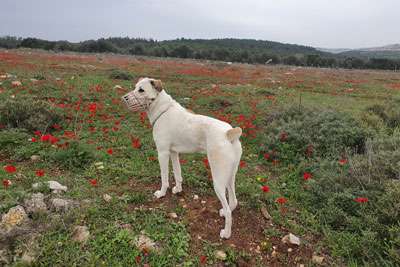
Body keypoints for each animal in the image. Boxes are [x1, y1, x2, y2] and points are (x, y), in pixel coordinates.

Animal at [122, 77, 242, 239]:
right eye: (135, 87)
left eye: (141, 90)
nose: (124, 98)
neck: (161, 110)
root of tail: (229, 133)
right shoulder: (173, 153)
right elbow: (178, 174)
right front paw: (178, 189)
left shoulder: (163, 153)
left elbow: (164, 178)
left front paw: (161, 193)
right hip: (229, 176)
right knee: (233, 200)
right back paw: (224, 212)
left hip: (218, 180)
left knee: (229, 211)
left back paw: (226, 233)